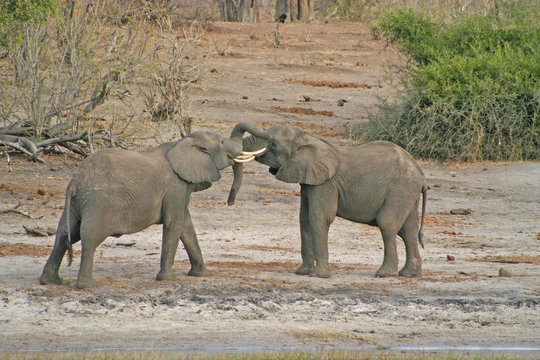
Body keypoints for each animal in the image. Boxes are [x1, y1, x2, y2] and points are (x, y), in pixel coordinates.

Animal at [39, 124, 266, 290]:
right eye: (221, 142)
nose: (230, 202)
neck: (182, 142)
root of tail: (76, 181)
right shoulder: (175, 186)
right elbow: (174, 224)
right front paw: (168, 279)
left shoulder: (181, 188)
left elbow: (186, 225)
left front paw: (202, 275)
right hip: (98, 203)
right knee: (89, 238)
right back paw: (87, 286)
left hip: (76, 204)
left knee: (63, 235)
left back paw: (50, 282)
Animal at [228, 122, 426, 278]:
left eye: (274, 144)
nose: (230, 203)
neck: (307, 138)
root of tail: (420, 172)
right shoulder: (308, 181)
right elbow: (304, 219)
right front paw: (302, 272)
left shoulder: (325, 183)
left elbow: (319, 217)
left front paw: (319, 276)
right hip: (407, 192)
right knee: (408, 230)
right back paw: (410, 274)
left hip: (400, 190)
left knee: (388, 224)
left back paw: (384, 274)